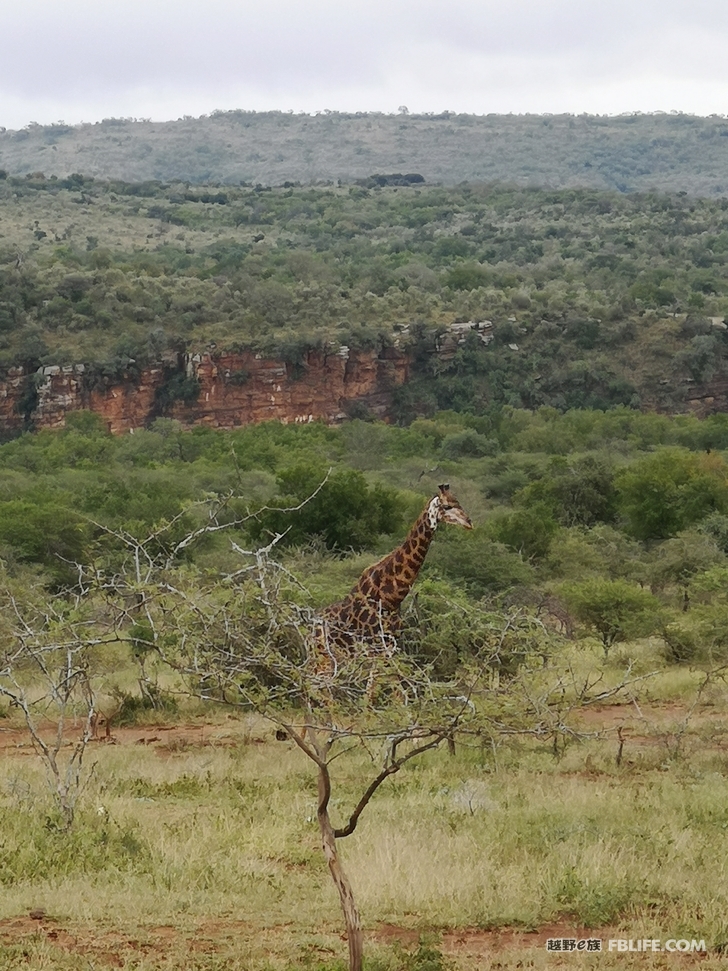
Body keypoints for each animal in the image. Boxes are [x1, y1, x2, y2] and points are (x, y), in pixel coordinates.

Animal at [312, 484, 472, 696]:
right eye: (447, 506)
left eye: (458, 502)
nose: (469, 522)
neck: (391, 595)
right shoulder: (377, 649)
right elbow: (375, 693)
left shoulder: (389, 649)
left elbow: (390, 691)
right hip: (323, 654)